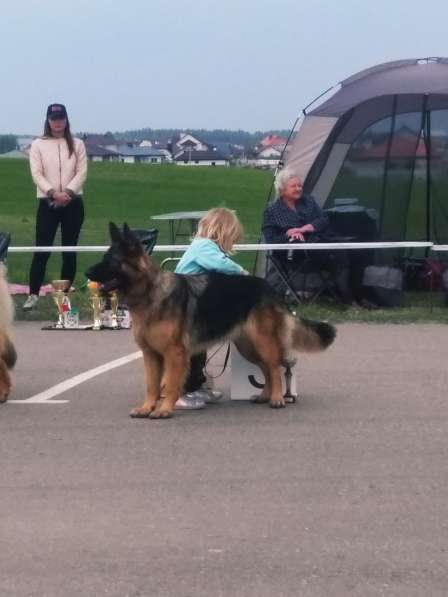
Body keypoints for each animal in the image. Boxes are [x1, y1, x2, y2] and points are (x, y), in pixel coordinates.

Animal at [86, 224, 336, 420]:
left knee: (274, 368)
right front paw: (147, 408)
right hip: (247, 347)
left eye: (111, 261)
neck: (150, 293)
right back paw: (265, 396)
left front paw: (164, 409)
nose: (87, 273)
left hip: (262, 342)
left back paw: (276, 399)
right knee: (266, 368)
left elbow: (170, 384)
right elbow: (152, 385)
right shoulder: (151, 355)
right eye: (104, 258)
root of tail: (270, 287)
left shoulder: (174, 354)